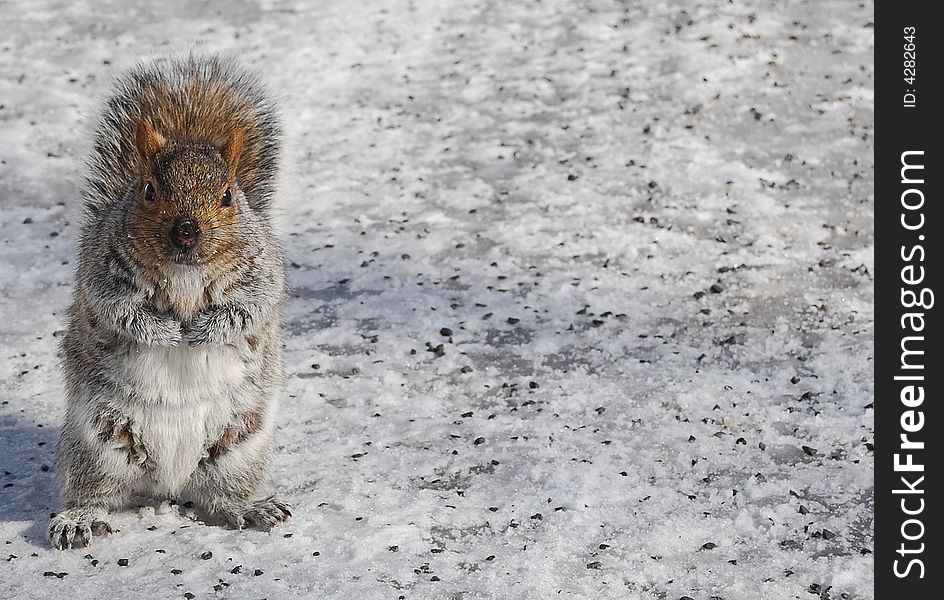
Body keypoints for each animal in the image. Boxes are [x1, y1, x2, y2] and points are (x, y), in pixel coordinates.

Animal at [48, 54, 290, 552]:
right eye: (148, 190)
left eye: (228, 195)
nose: (186, 232)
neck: (184, 270)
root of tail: (167, 487)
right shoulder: (102, 270)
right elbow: (118, 308)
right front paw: (161, 330)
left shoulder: (262, 271)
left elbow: (250, 306)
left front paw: (202, 330)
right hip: (94, 446)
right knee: (94, 493)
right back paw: (79, 519)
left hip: (239, 447)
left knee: (223, 498)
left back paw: (251, 508)